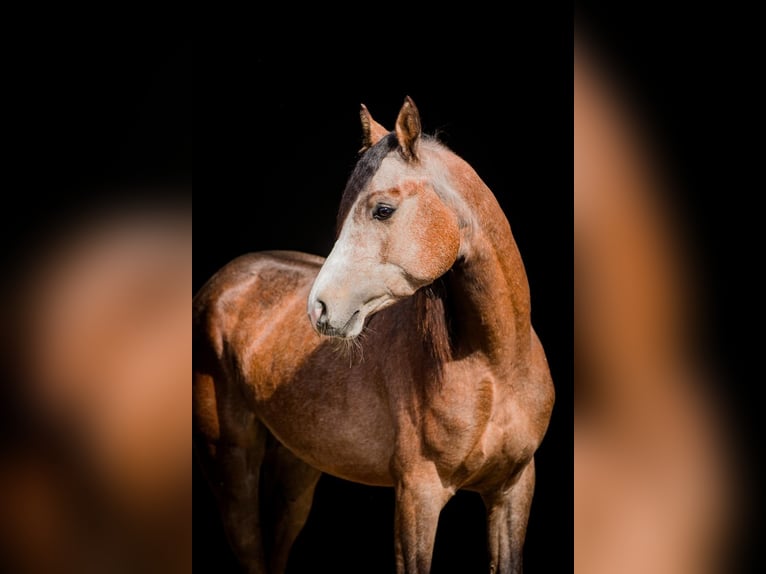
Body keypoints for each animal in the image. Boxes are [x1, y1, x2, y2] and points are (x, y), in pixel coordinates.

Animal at [195, 97, 556, 572]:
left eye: (382, 209)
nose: (319, 308)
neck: (495, 368)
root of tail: (222, 282)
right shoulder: (418, 497)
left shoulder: (513, 490)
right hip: (231, 462)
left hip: (296, 468)